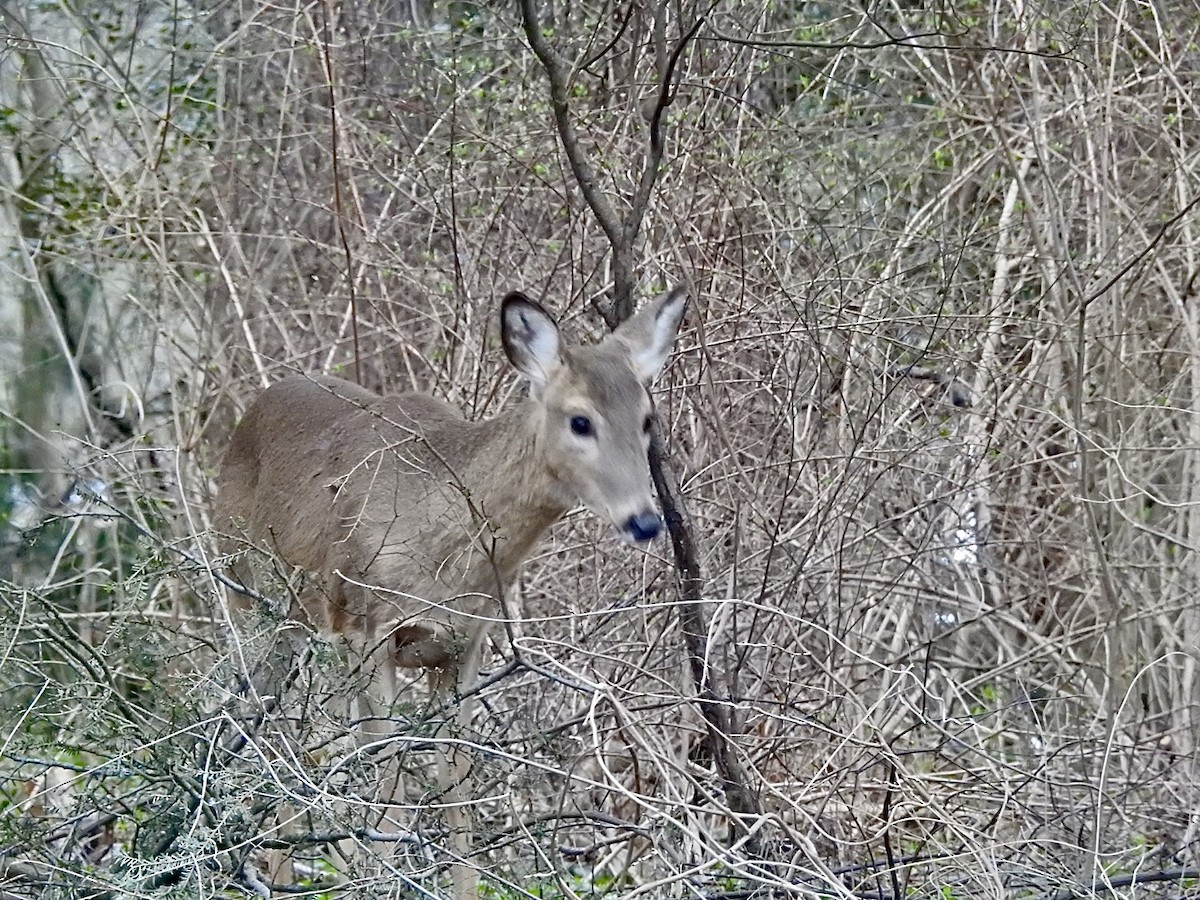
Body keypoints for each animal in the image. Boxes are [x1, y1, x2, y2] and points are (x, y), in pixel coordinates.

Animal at [214, 287, 687, 898]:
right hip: (254, 604)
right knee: (271, 730)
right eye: (580, 419)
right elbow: (390, 780)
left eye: (648, 418)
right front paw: (383, 877)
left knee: (304, 736)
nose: (644, 521)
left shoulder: (464, 646)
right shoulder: (373, 630)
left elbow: (456, 785)